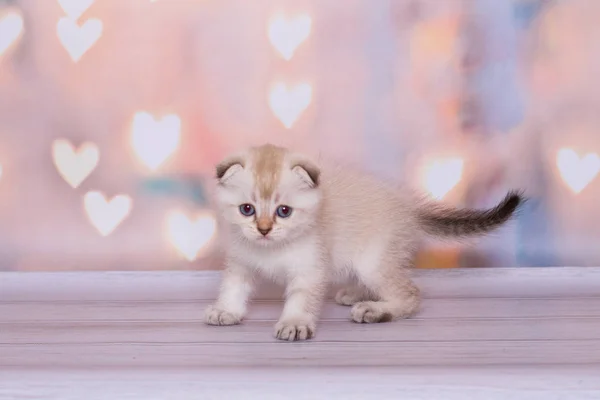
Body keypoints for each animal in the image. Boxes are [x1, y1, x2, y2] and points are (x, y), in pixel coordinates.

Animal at [206, 144, 524, 340]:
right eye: (247, 209)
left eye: (284, 211)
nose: (263, 230)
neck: (271, 249)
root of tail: (408, 209)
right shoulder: (241, 262)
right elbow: (233, 288)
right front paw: (227, 311)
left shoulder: (310, 269)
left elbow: (301, 299)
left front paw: (294, 323)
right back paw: (356, 295)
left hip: (374, 261)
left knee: (410, 295)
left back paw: (375, 310)